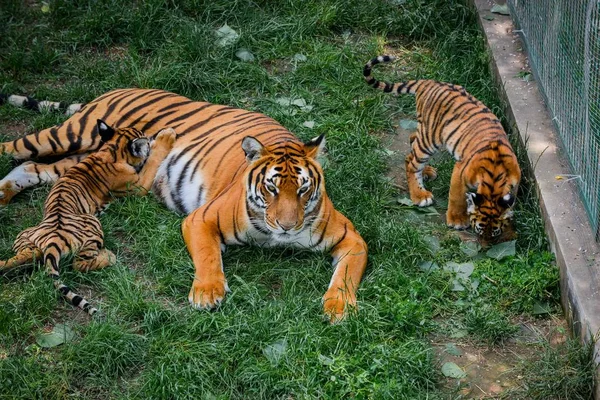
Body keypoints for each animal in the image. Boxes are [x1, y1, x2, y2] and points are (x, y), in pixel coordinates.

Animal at [0, 120, 177, 314]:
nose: (152, 137)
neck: (112, 149)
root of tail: (53, 240)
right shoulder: (139, 185)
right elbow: (153, 162)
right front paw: (166, 137)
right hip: (94, 224)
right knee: (79, 265)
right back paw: (109, 256)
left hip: (24, 235)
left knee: (28, 254)